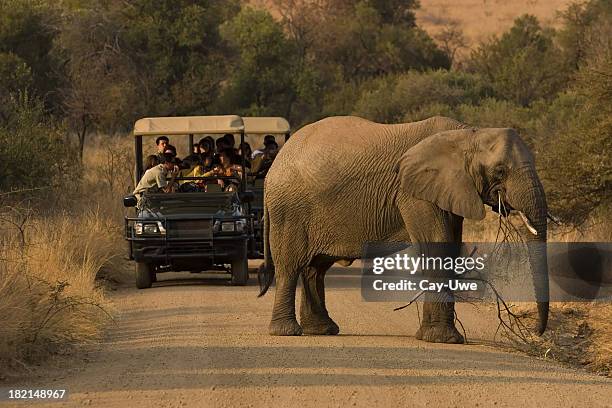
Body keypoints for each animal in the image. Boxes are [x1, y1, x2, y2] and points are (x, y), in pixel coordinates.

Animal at [256, 115, 548, 344]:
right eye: (500, 171)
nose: (535, 332)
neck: (466, 134)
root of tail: (273, 168)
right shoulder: (413, 193)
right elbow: (437, 244)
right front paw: (443, 339)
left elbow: (450, 247)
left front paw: (436, 337)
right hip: (289, 210)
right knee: (290, 266)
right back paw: (287, 332)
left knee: (315, 268)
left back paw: (322, 330)